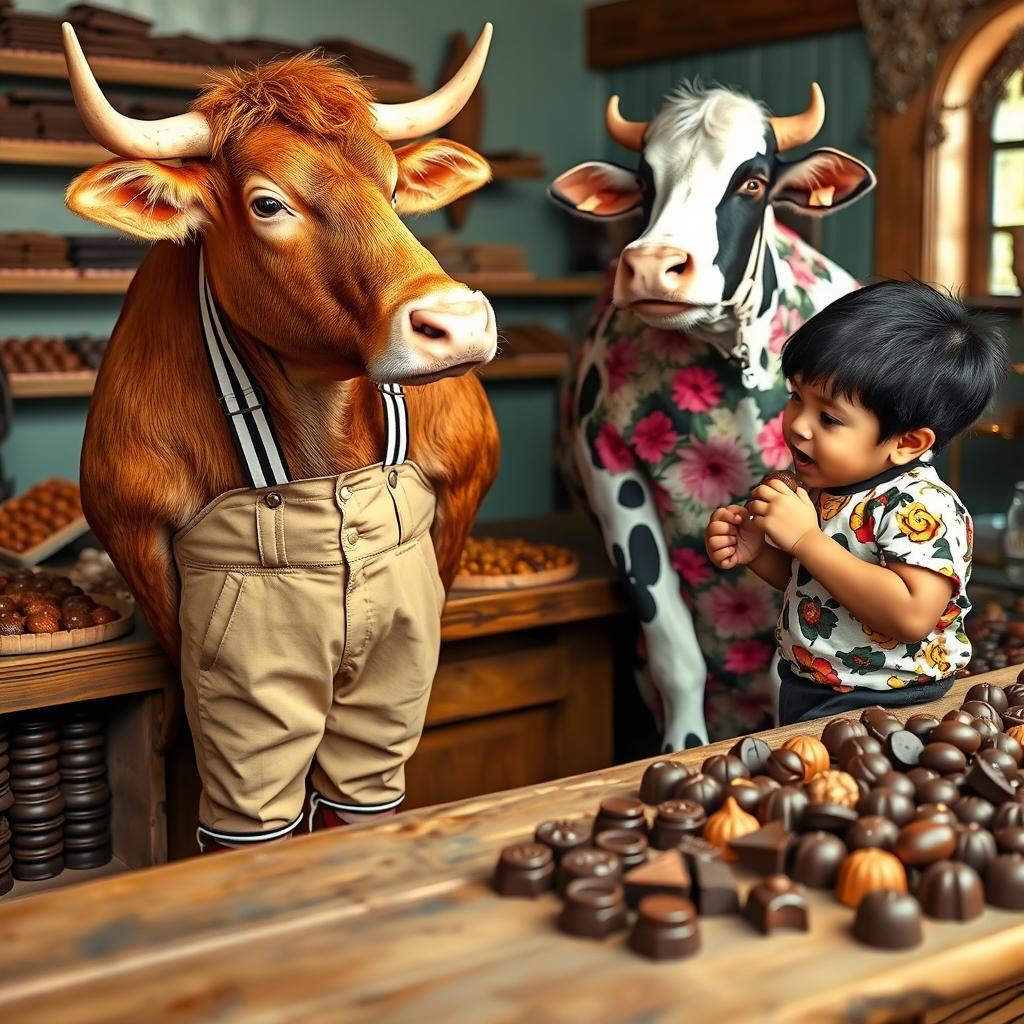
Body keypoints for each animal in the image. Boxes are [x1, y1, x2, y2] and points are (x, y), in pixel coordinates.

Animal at [548, 83, 876, 749]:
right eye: (644, 183)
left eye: (752, 181)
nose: (653, 265)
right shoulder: (610, 471)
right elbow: (675, 650)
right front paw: (685, 747)